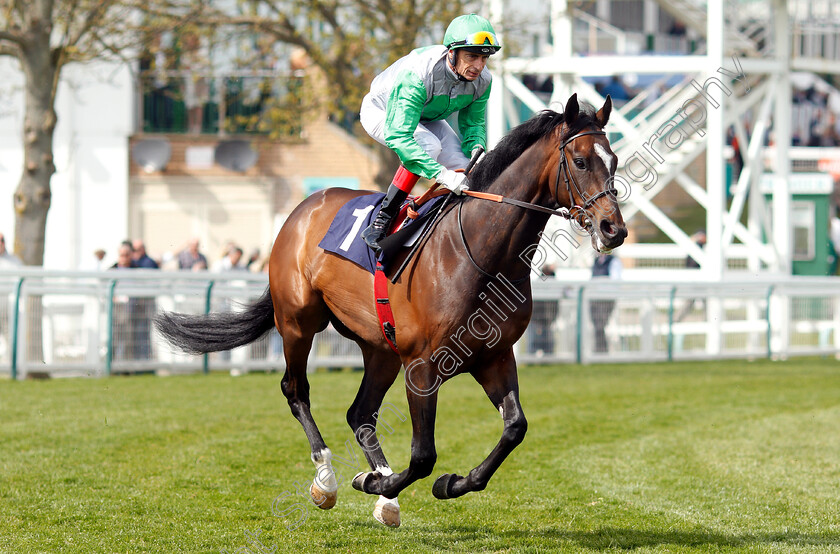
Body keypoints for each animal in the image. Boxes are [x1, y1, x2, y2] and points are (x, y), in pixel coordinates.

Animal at [156, 95, 624, 528]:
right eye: (580, 161)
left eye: (614, 160)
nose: (613, 229)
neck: (481, 254)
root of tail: (304, 207)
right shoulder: (422, 364)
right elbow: (422, 456)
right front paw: (373, 481)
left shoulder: (493, 356)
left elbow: (514, 428)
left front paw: (449, 483)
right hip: (298, 321)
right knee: (296, 390)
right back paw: (328, 480)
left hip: (378, 346)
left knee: (360, 412)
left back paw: (384, 496)